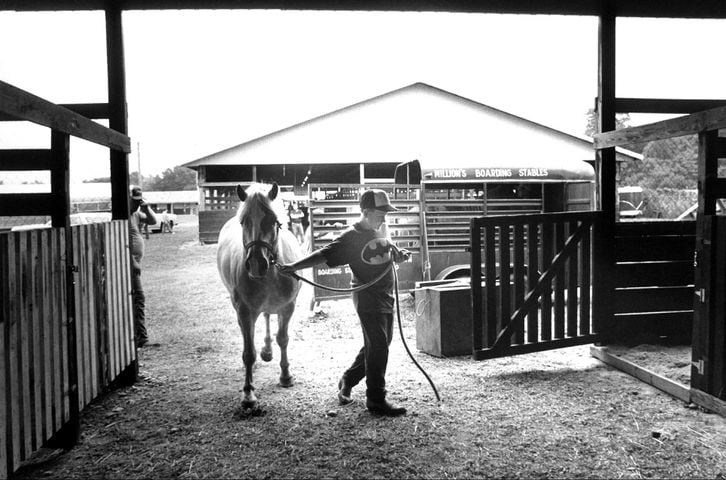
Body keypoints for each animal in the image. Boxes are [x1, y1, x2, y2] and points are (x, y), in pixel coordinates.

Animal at [219, 183, 304, 408]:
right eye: (243, 221)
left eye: (273, 221)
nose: (257, 263)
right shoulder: (245, 311)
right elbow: (249, 354)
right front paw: (248, 394)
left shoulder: (288, 307)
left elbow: (283, 338)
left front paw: (285, 376)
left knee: (266, 316)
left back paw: (267, 351)